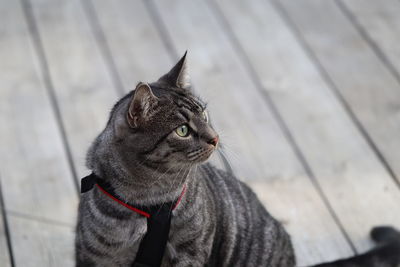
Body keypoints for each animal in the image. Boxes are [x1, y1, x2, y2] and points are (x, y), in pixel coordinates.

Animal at [75, 52, 400, 267]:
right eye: (182, 130)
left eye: (204, 114)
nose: (215, 137)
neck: (149, 200)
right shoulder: (96, 256)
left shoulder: (191, 252)